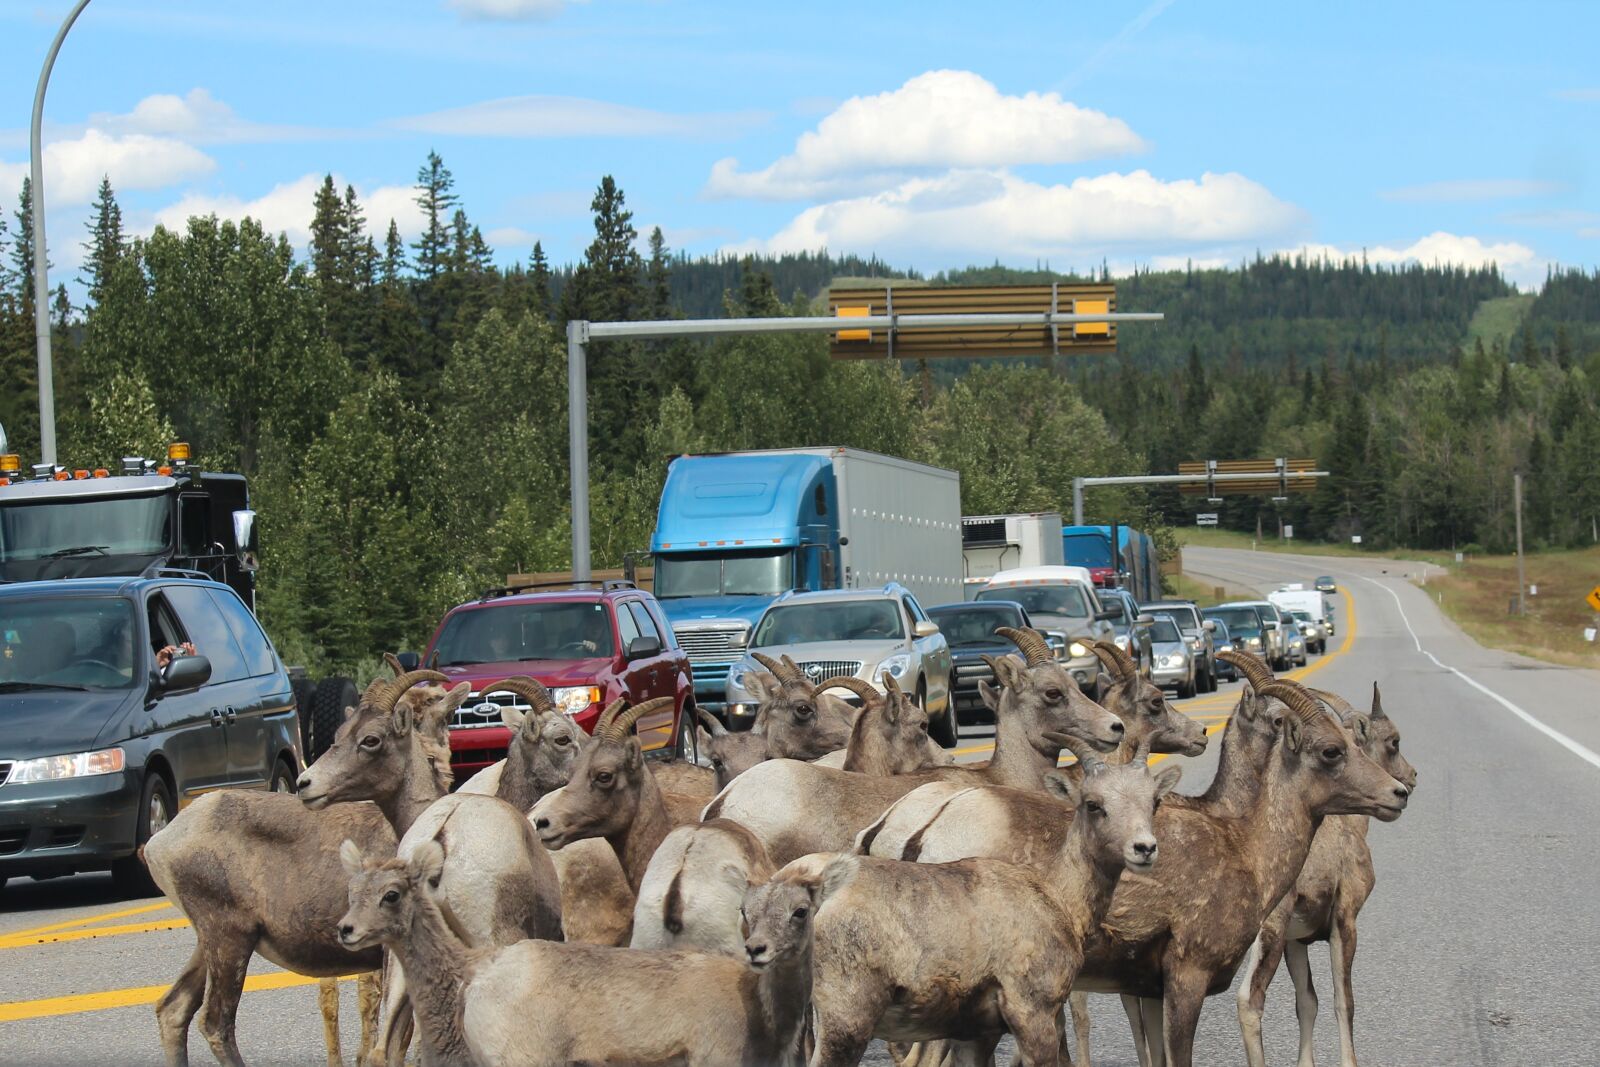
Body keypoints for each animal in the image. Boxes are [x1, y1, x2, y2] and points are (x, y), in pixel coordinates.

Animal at [806, 742, 1184, 1067]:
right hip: (846, 1025)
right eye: (1093, 804)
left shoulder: (976, 1035)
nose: (1144, 848)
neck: (1056, 895)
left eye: (1153, 801)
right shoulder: (1033, 1015)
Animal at [1228, 684, 1420, 1067]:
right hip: (1266, 937)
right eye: (1393, 741)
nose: (1406, 784)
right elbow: (1343, 1002)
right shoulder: (1343, 921)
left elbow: (1307, 1002)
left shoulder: (1296, 941)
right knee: (1249, 1000)